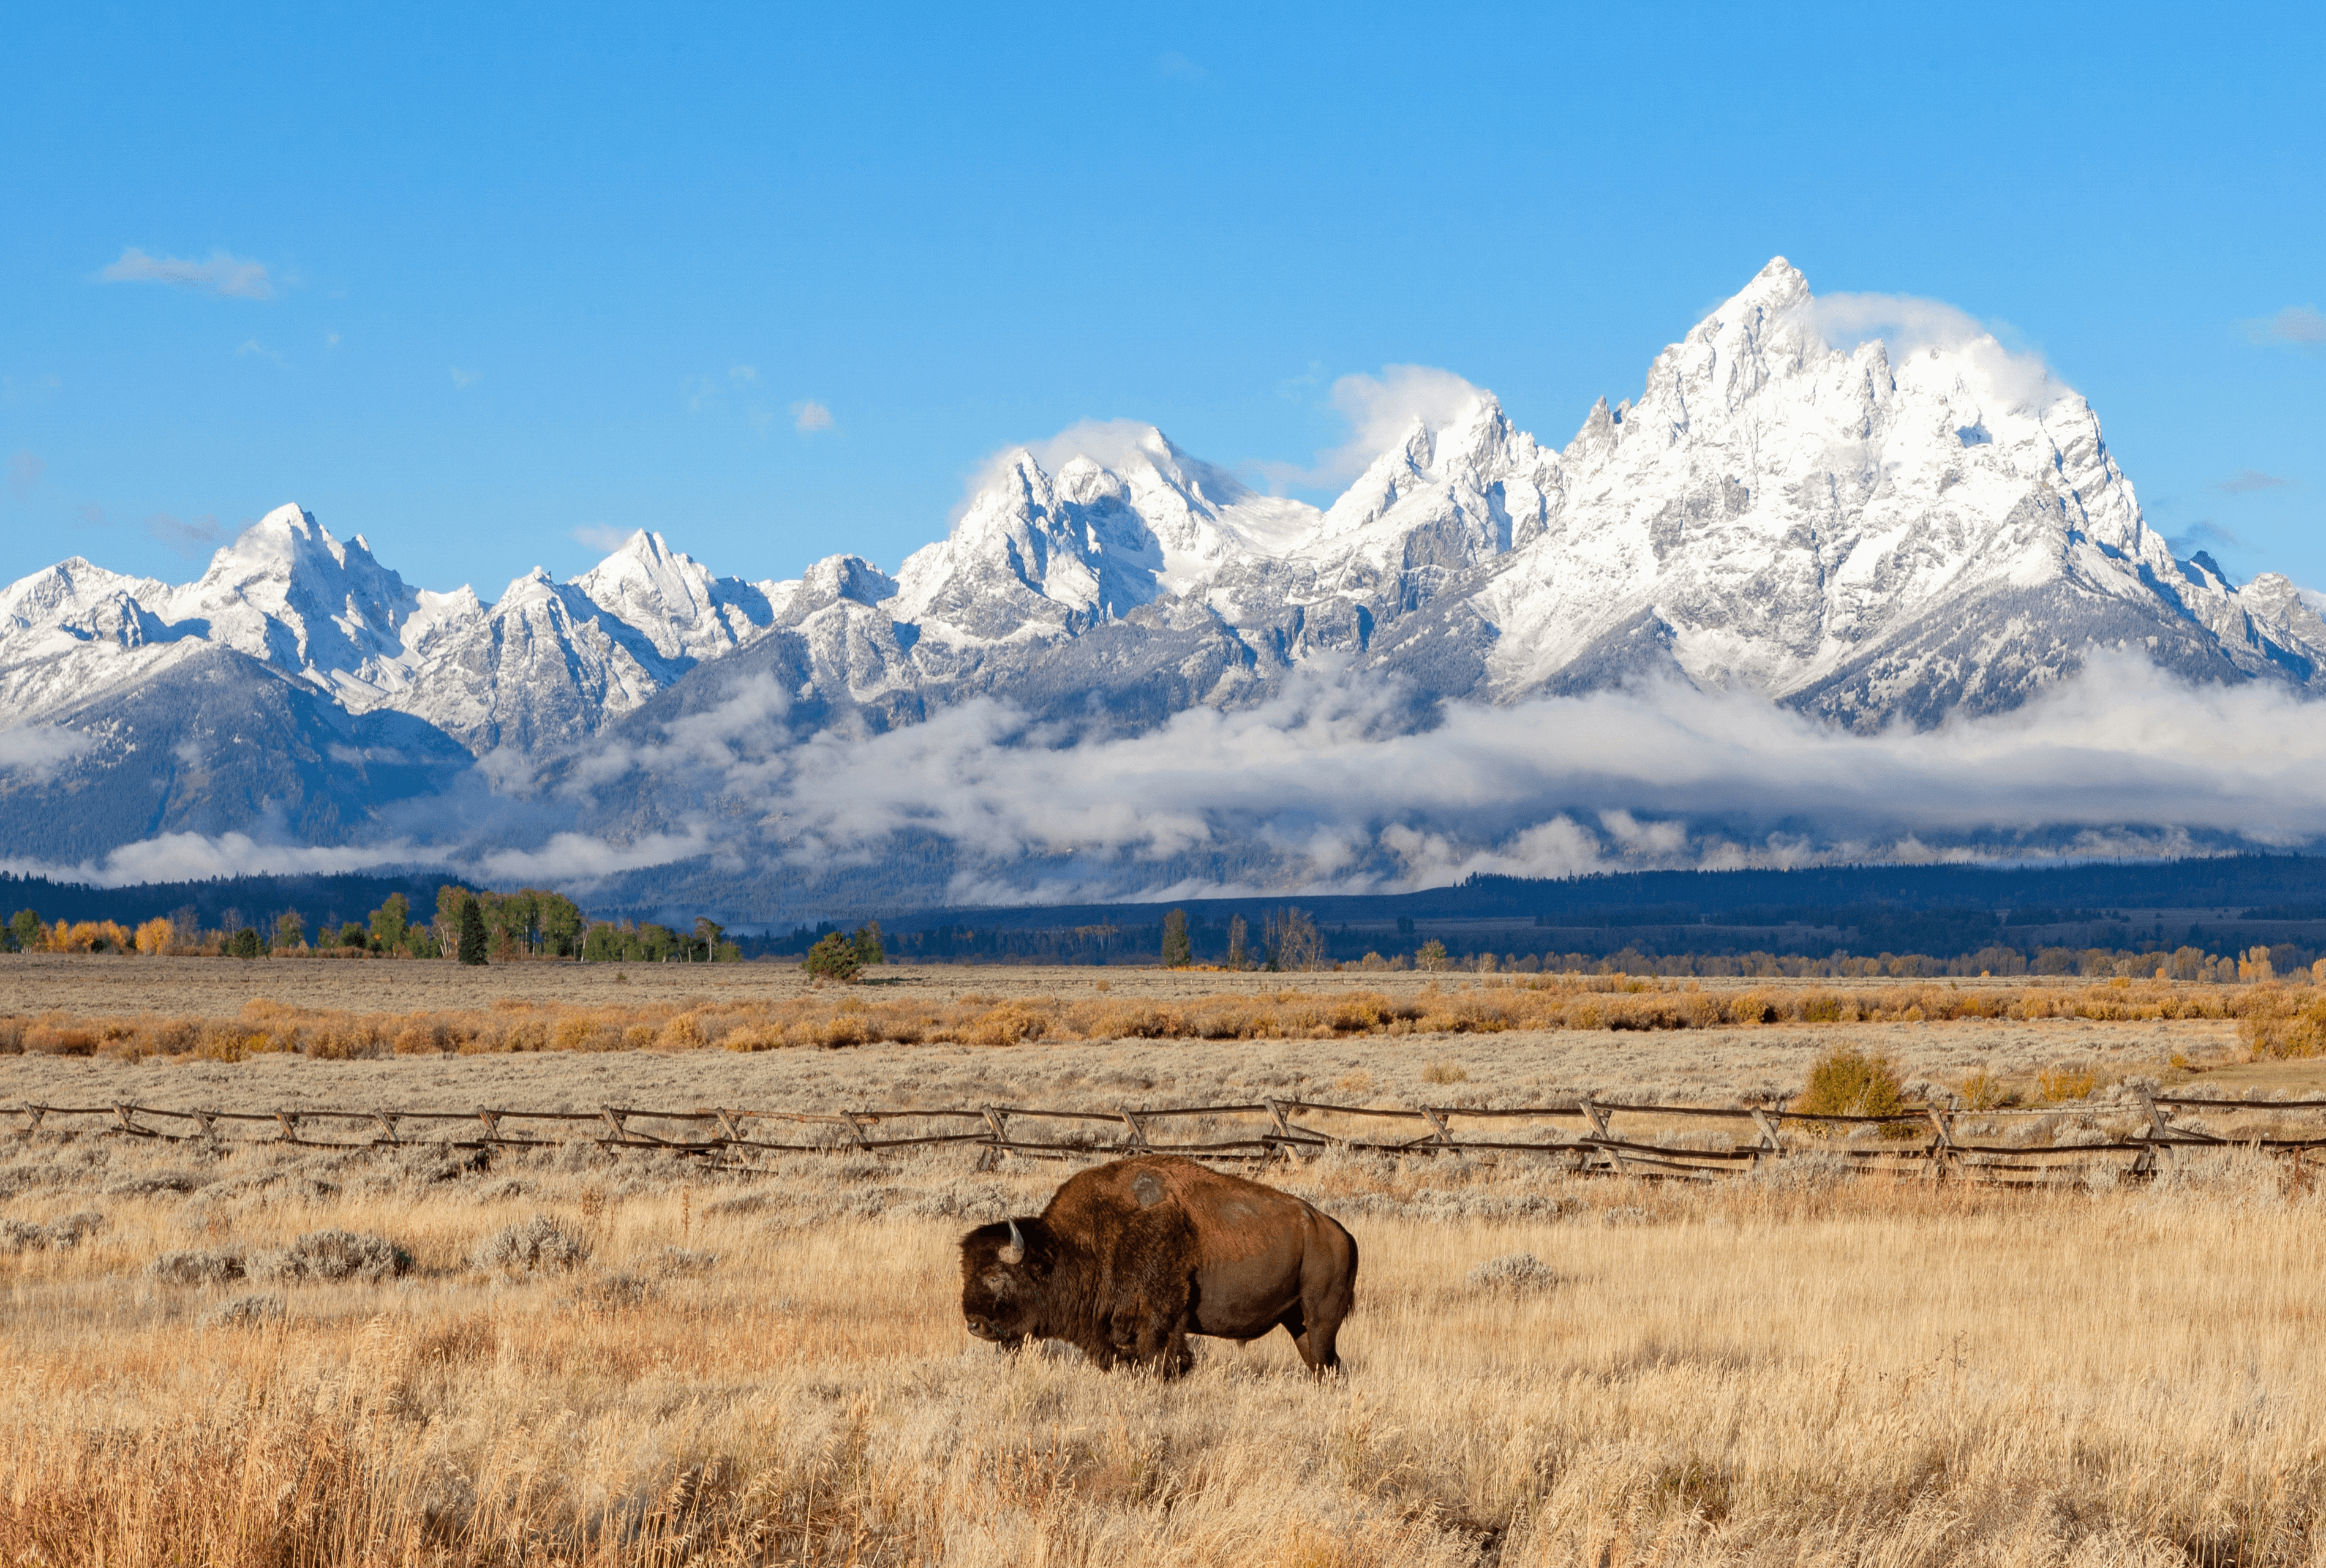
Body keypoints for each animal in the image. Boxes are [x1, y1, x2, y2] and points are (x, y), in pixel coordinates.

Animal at [959, 1154, 1357, 1376]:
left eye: (995, 1276)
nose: (974, 1324)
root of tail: (1339, 1233)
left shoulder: (1161, 1323)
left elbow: (1164, 1362)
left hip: (1320, 1319)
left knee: (1327, 1362)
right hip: (1297, 1321)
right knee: (1324, 1365)